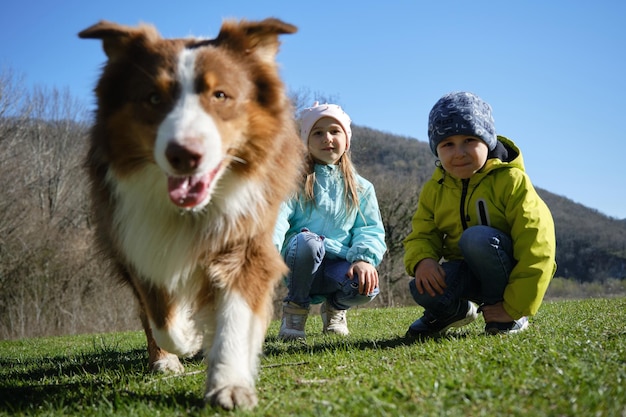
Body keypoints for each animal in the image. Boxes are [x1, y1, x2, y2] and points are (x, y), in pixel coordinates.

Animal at [78, 17, 302, 408]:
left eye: (221, 95)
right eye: (153, 98)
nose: (184, 155)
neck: (193, 211)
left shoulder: (247, 232)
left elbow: (236, 313)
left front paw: (229, 384)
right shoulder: (139, 240)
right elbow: (163, 320)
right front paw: (189, 339)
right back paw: (166, 359)